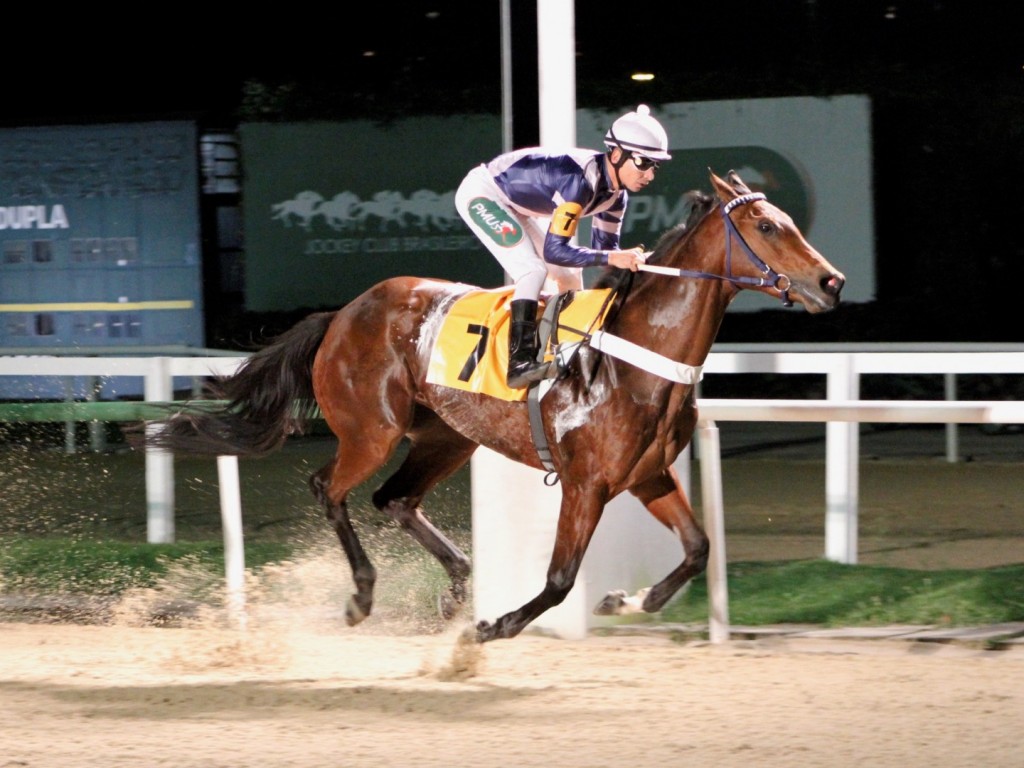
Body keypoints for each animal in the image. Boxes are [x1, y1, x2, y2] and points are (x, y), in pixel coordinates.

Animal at [146, 171, 847, 647]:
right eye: (766, 227)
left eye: (787, 220)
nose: (831, 281)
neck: (636, 359)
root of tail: (342, 314)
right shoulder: (587, 484)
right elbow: (561, 578)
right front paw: (495, 626)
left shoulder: (646, 475)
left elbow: (698, 549)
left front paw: (624, 600)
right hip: (372, 431)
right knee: (330, 488)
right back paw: (364, 595)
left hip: (448, 437)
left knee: (394, 499)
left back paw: (456, 583)